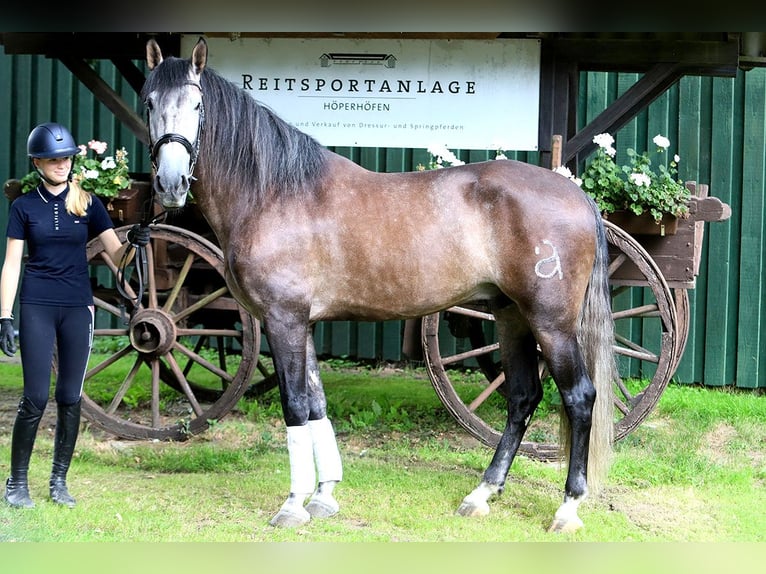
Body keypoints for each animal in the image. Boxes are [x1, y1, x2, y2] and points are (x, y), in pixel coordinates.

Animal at [142, 37, 615, 533]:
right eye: (148, 102)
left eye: (197, 105)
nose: (171, 184)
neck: (274, 194)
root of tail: (577, 194)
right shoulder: (302, 323)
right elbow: (316, 404)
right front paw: (324, 495)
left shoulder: (282, 319)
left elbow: (295, 405)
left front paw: (292, 505)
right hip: (511, 318)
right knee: (523, 398)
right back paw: (482, 493)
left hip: (551, 324)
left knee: (579, 398)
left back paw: (567, 507)